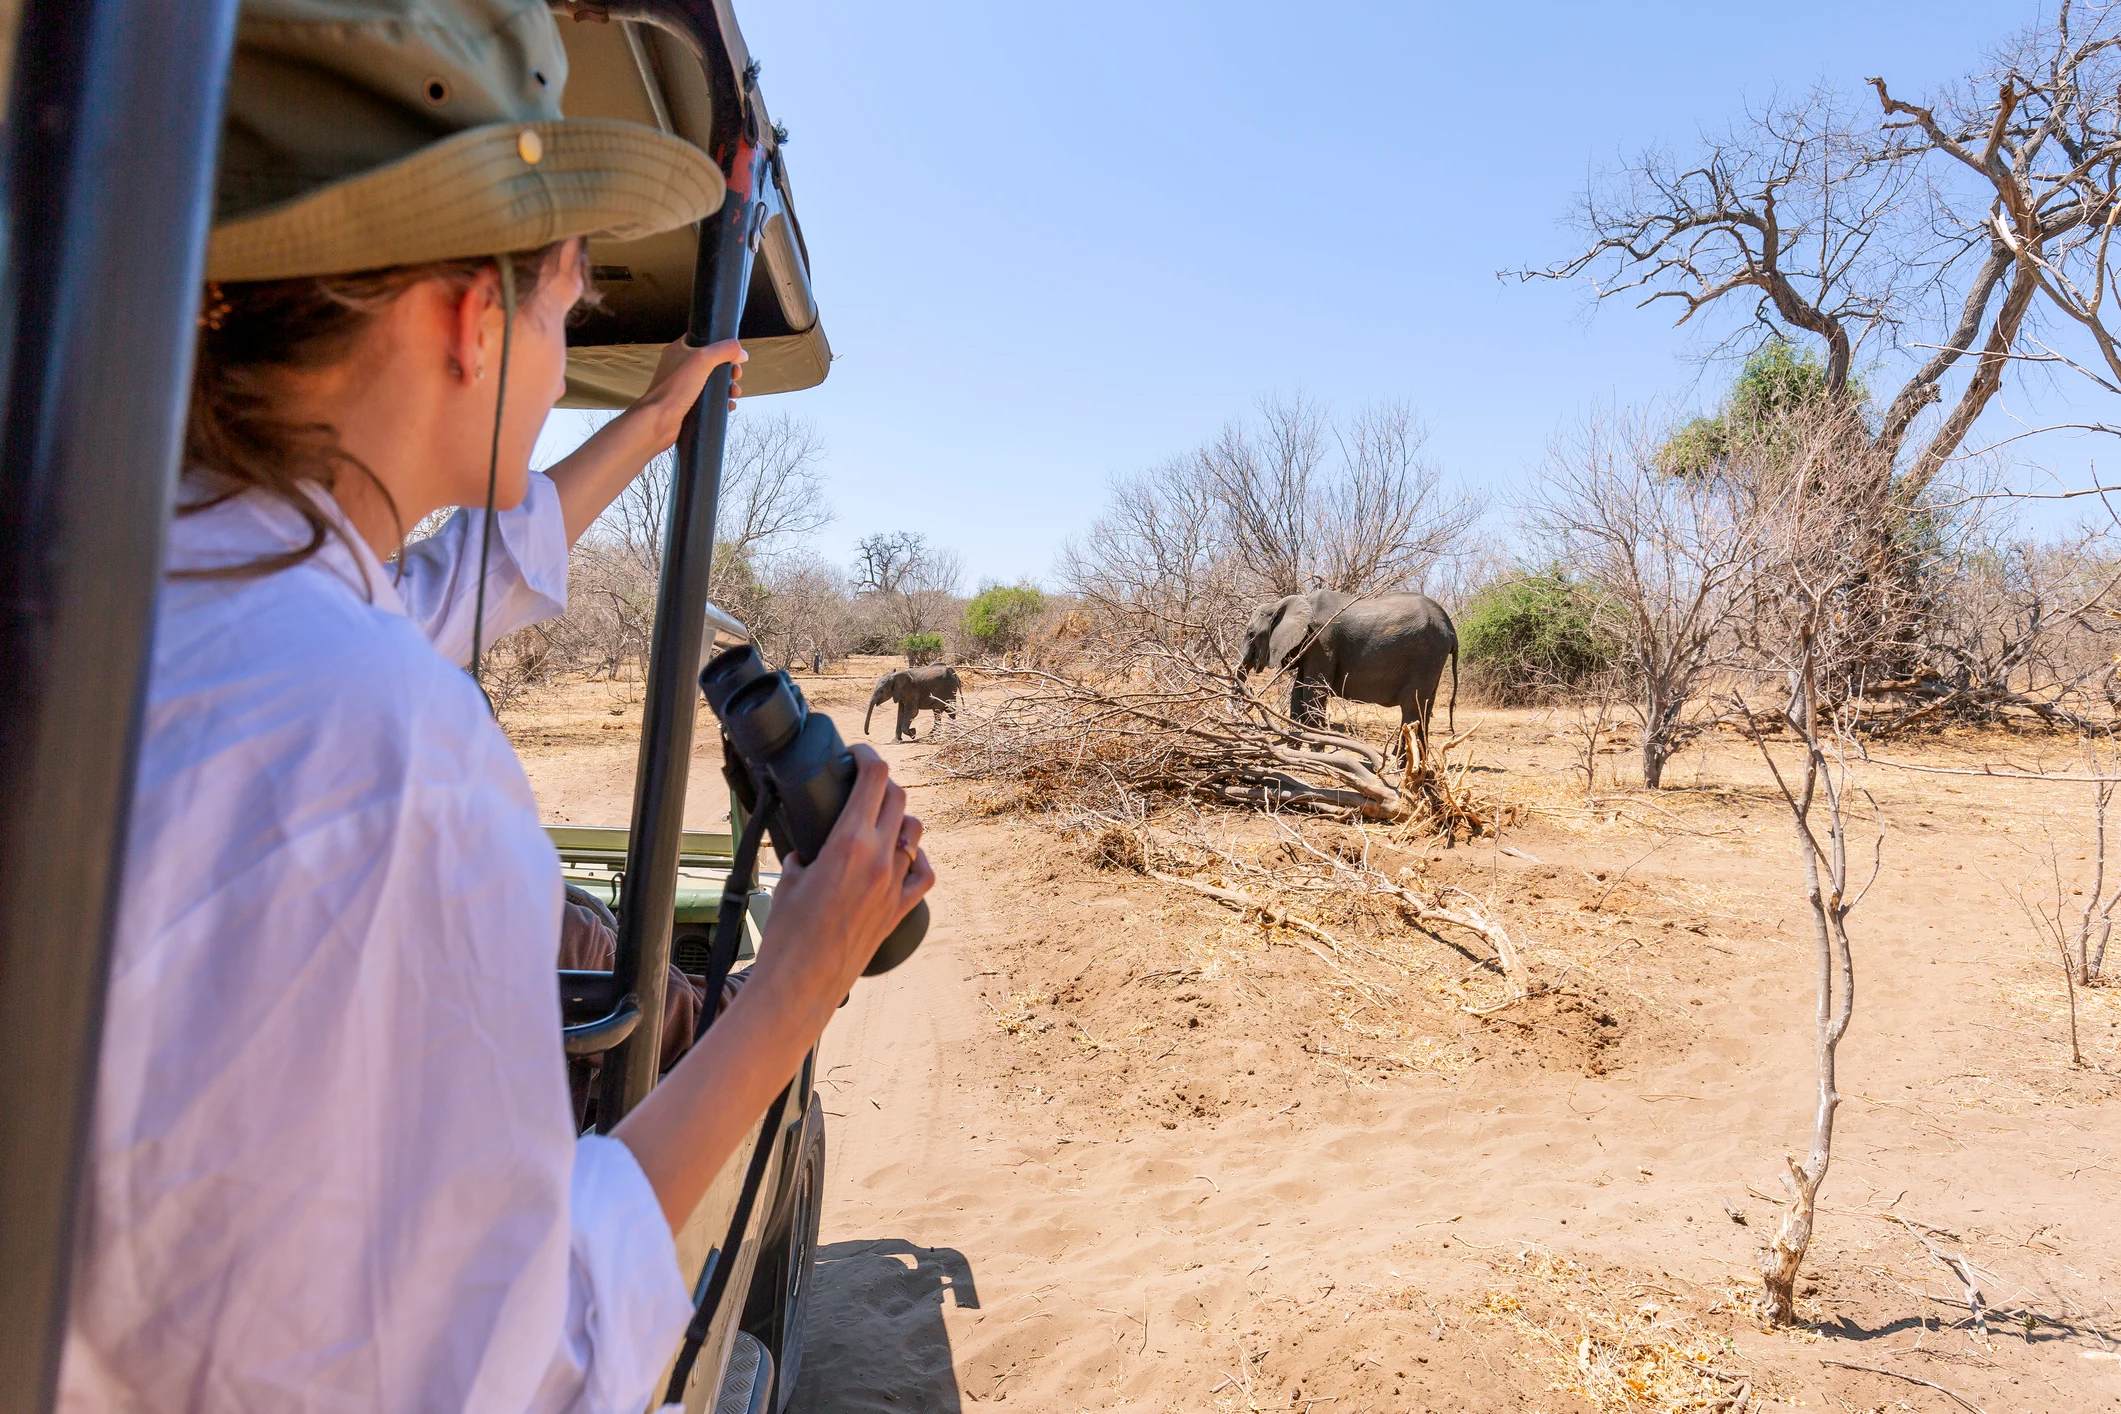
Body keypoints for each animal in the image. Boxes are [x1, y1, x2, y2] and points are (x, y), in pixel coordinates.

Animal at [1239, 589, 1458, 741]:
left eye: (1251, 634)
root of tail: (1451, 628)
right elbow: (1298, 691)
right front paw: (1293, 745)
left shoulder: (1322, 642)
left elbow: (1313, 692)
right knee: (1424, 710)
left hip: (1425, 656)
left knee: (1412, 710)